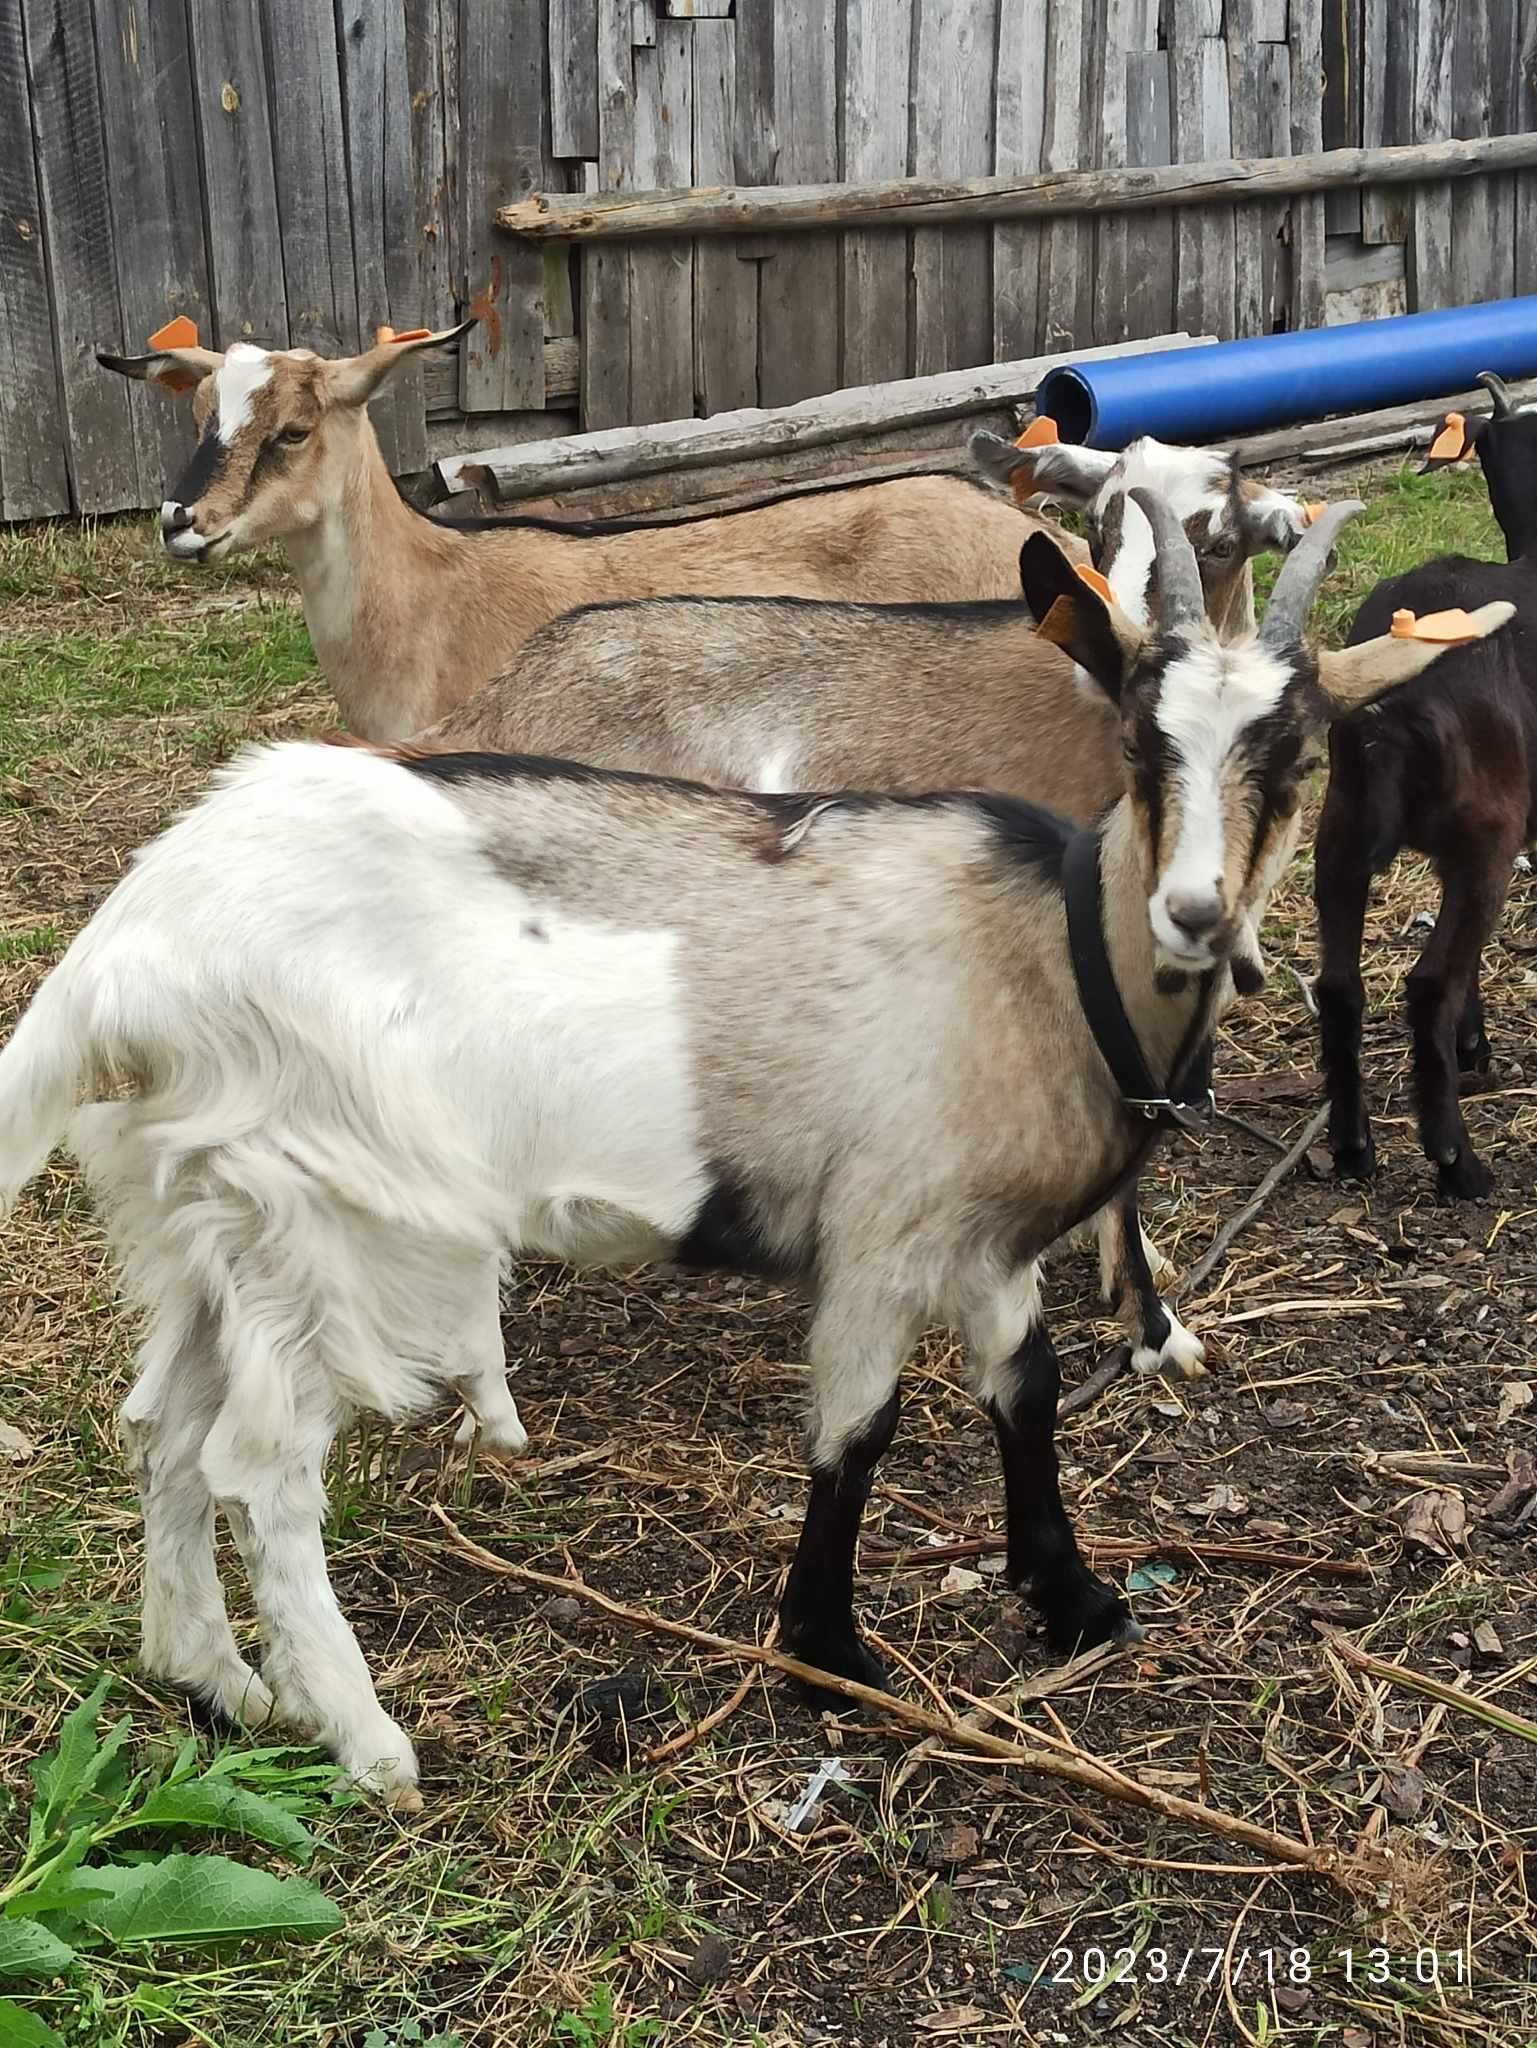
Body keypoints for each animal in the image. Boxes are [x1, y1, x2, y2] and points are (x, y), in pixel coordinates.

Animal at [1311, 372, 1537, 1196]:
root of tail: (1395, 710)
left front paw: (1475, 1047)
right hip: (1486, 838)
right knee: (1428, 982)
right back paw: (1456, 1161)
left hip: (1340, 830)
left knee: (1340, 986)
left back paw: (1352, 1148)